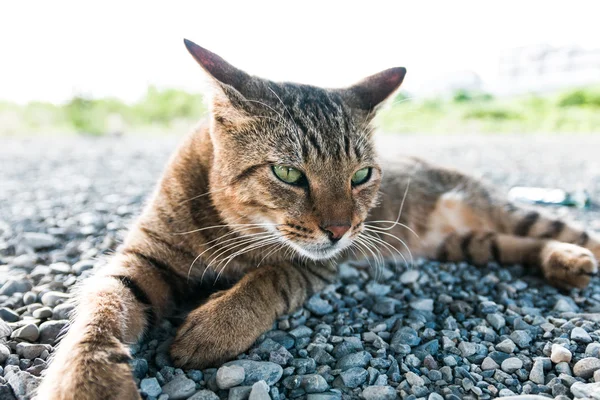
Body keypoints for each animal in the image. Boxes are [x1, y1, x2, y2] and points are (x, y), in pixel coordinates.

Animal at [36, 38, 596, 400]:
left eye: (362, 175)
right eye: (288, 173)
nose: (341, 227)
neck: (229, 228)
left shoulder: (323, 262)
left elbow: (269, 277)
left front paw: (215, 326)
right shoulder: (142, 255)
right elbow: (101, 309)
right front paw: (86, 382)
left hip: (501, 211)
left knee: (565, 230)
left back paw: (574, 256)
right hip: (469, 243)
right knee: (513, 244)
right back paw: (563, 263)